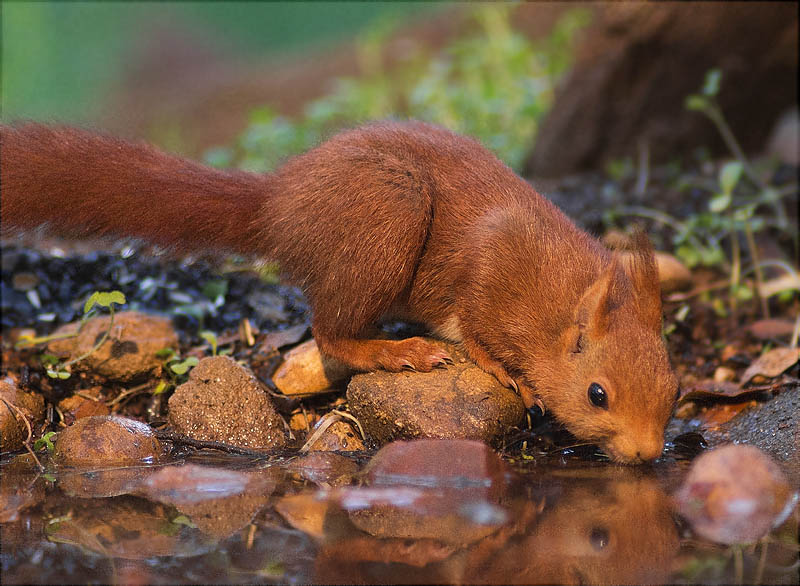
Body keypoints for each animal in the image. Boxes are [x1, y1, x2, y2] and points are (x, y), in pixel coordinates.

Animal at [0, 121, 680, 460]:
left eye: (674, 390)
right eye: (597, 395)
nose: (649, 455)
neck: (562, 297)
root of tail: (279, 205)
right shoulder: (494, 264)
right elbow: (479, 326)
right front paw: (505, 369)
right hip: (389, 213)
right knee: (331, 333)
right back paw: (396, 352)